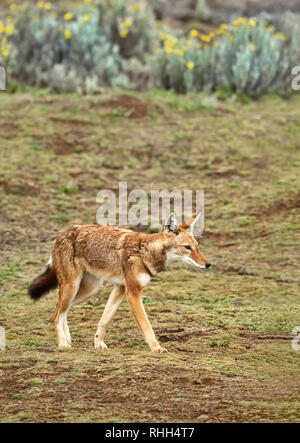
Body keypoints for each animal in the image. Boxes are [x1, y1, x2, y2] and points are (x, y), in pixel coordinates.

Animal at [28, 213, 211, 356]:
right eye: (187, 247)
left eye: (197, 247)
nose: (208, 264)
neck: (144, 253)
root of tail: (62, 234)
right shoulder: (133, 293)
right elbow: (146, 326)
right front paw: (156, 348)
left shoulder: (121, 288)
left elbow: (104, 320)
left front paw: (98, 343)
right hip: (72, 287)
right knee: (57, 313)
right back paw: (63, 344)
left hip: (89, 289)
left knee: (60, 309)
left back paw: (68, 339)